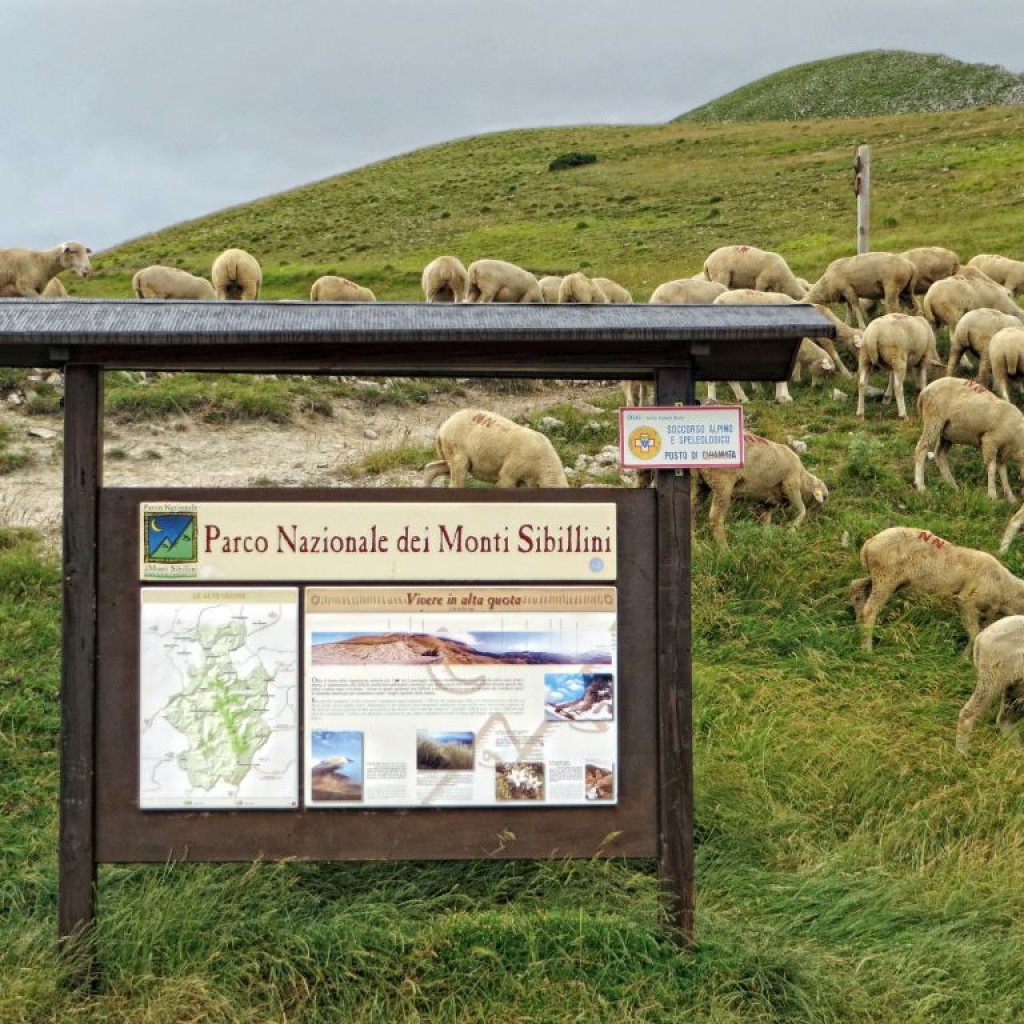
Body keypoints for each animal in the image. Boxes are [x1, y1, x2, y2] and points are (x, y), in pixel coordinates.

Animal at [421, 407, 569, 487]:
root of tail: (443, 427)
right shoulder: (509, 474)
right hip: (457, 451)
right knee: (456, 482)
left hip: (450, 454)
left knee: (432, 468)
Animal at [692, 430, 827, 548]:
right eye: (824, 498)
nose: (816, 519)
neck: (803, 478)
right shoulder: (791, 484)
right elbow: (802, 509)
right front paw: (792, 529)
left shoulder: (768, 501)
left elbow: (765, 520)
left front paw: (767, 538)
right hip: (722, 482)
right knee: (715, 519)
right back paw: (725, 549)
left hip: (698, 482)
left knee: (692, 511)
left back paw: (695, 545)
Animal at [847, 524, 1024, 651]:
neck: (1006, 587)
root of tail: (869, 544)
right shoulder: (967, 601)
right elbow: (975, 633)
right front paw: (965, 659)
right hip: (886, 577)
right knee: (870, 610)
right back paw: (867, 648)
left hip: (885, 578)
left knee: (856, 585)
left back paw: (857, 622)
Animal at [954, 614, 1024, 753]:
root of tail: (980, 638)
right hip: (993, 678)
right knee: (968, 713)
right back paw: (961, 755)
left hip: (1015, 687)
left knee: (1005, 720)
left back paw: (1015, 752)